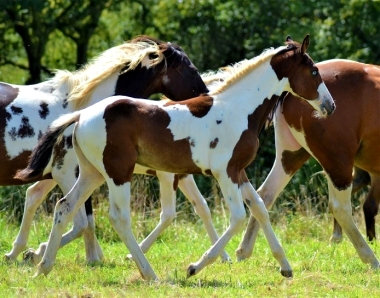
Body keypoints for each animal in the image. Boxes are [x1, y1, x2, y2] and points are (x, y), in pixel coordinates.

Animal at [16, 35, 334, 280]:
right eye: (313, 72)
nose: (330, 106)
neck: (238, 108)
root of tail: (81, 115)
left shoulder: (238, 172)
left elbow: (259, 208)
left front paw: (285, 266)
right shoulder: (224, 173)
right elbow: (238, 216)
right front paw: (196, 267)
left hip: (91, 173)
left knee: (64, 207)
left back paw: (43, 266)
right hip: (118, 173)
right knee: (118, 217)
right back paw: (149, 273)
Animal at [236, 58, 380, 270]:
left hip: (291, 156)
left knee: (265, 194)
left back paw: (244, 251)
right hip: (338, 161)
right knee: (340, 208)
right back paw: (370, 258)